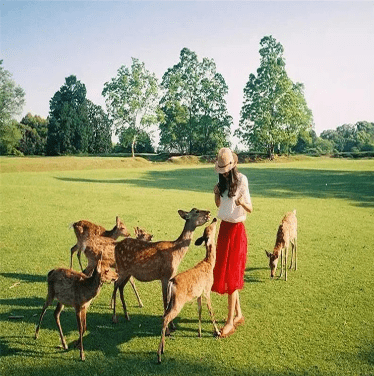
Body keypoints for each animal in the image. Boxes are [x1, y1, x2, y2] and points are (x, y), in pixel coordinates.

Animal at [156, 217, 221, 364]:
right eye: (210, 228)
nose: (215, 218)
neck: (209, 264)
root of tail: (172, 283)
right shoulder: (207, 289)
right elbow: (210, 311)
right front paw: (217, 332)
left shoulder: (198, 294)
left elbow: (199, 310)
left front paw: (199, 333)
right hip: (178, 302)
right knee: (165, 318)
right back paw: (159, 355)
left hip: (172, 301)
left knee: (164, 315)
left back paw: (163, 349)